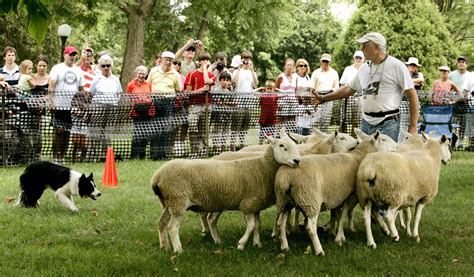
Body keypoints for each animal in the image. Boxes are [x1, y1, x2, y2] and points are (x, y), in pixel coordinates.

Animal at [152, 130, 300, 252]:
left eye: (294, 144)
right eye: (281, 146)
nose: (297, 161)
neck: (263, 166)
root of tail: (157, 176)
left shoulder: (255, 204)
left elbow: (258, 225)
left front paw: (257, 243)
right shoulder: (247, 204)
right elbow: (251, 226)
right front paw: (241, 244)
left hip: (169, 203)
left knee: (161, 224)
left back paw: (164, 247)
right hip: (178, 201)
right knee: (172, 227)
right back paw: (178, 250)